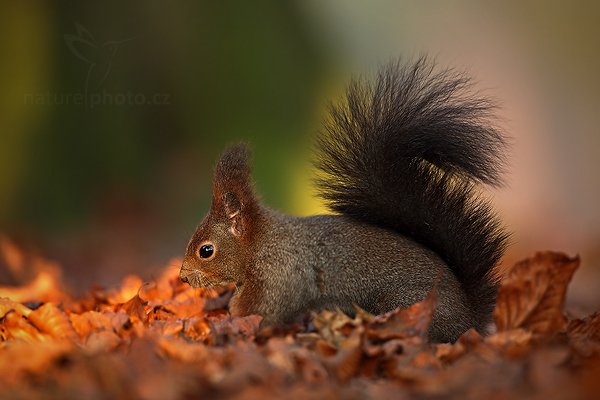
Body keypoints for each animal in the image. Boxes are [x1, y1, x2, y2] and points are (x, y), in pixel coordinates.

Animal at [179, 57, 510, 342]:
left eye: (206, 251)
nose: (182, 277)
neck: (263, 244)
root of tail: (469, 320)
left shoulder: (279, 278)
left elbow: (264, 311)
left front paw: (232, 318)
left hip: (406, 304)